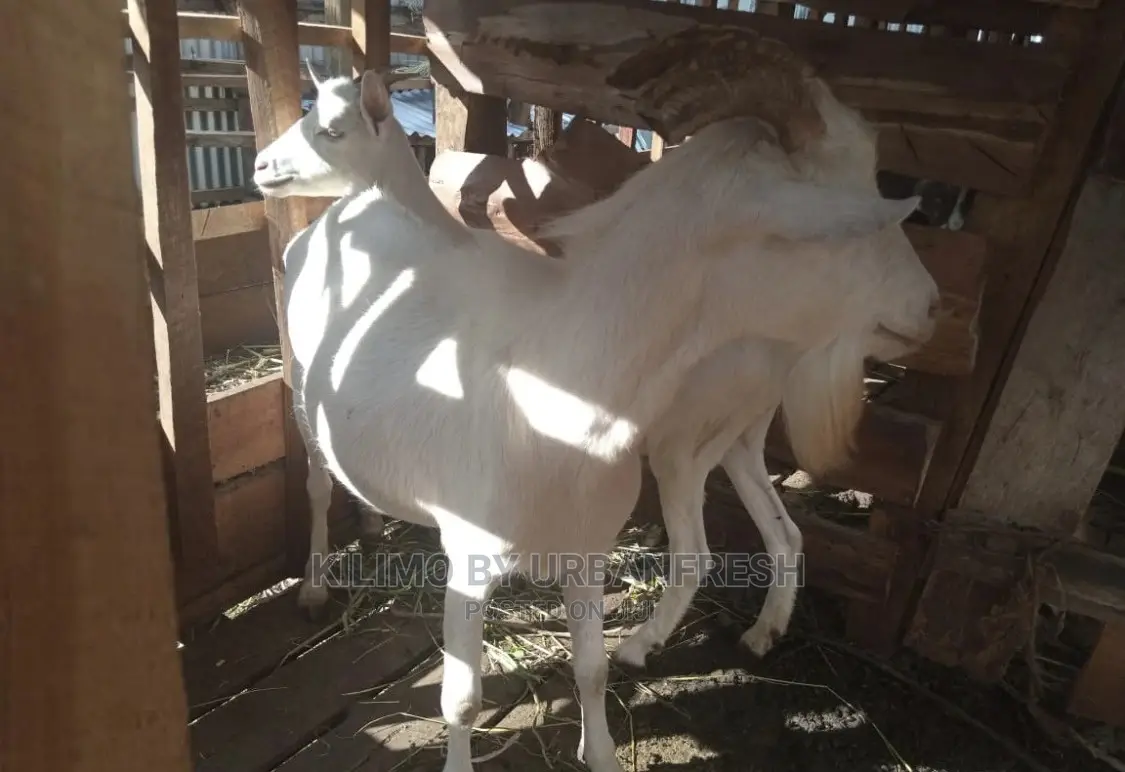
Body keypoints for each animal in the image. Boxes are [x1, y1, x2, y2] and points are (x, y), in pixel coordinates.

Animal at [252, 63, 938, 772]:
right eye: (846, 226)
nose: (932, 306)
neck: (562, 385)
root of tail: (354, 205)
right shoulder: (470, 561)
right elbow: (462, 701)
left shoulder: (589, 549)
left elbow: (592, 670)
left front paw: (603, 749)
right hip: (302, 385)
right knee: (315, 480)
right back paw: (314, 586)